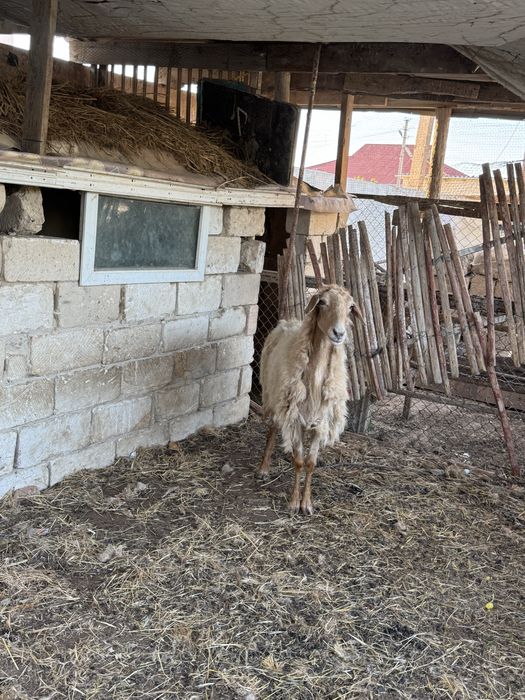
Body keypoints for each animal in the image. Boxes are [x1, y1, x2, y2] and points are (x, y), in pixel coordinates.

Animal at [257, 284, 362, 514]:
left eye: (350, 307)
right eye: (322, 302)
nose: (339, 333)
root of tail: (287, 321)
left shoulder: (320, 423)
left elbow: (311, 462)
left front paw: (307, 504)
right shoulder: (294, 417)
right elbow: (298, 461)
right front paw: (293, 503)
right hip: (273, 397)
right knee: (272, 429)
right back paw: (264, 468)